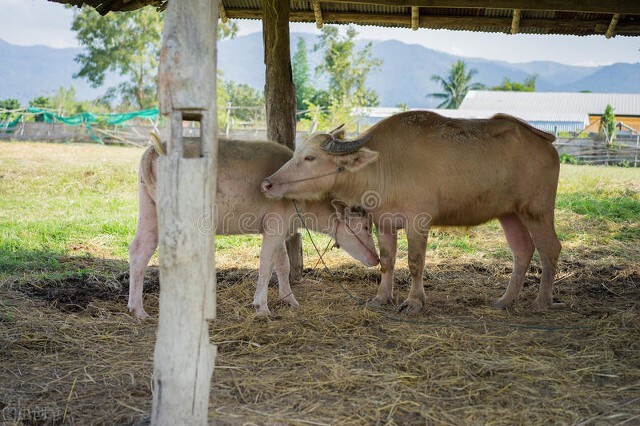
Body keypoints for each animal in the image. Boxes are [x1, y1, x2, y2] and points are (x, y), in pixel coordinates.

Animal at [130, 138, 380, 318]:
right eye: (367, 226)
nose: (376, 258)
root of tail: (157, 147)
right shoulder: (275, 226)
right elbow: (266, 265)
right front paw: (262, 307)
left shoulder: (281, 230)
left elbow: (283, 265)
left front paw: (289, 299)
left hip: (149, 210)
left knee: (140, 251)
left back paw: (137, 309)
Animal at [262, 111, 564, 314]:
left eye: (310, 157)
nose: (268, 183)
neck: (382, 166)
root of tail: (546, 143)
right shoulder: (384, 222)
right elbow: (387, 261)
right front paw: (381, 297)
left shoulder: (418, 222)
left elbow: (415, 262)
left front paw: (414, 301)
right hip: (510, 213)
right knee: (523, 250)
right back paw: (505, 300)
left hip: (536, 209)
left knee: (550, 248)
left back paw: (541, 302)